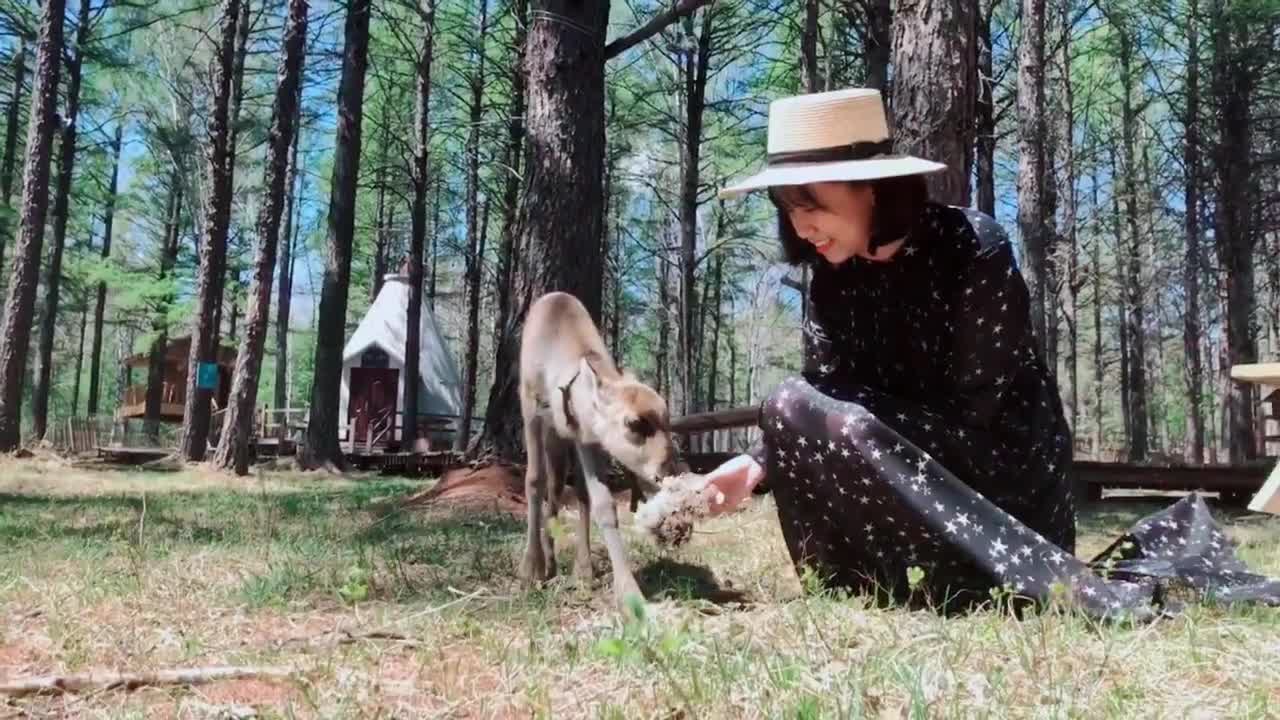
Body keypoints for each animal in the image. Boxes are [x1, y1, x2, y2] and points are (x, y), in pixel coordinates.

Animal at [517, 288, 686, 607]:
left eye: (668, 417)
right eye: (634, 423)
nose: (667, 470)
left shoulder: (587, 435)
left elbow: (601, 501)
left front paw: (625, 591)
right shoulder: (530, 405)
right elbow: (533, 480)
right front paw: (530, 569)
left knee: (563, 488)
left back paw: (574, 567)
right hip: (549, 432)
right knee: (550, 486)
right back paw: (548, 564)